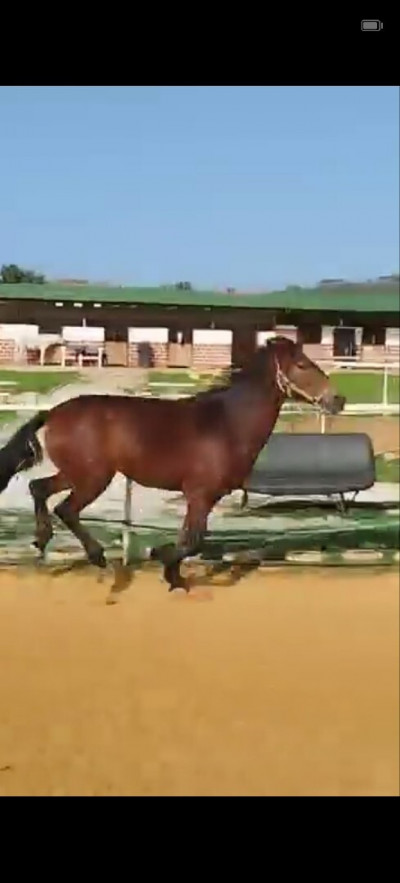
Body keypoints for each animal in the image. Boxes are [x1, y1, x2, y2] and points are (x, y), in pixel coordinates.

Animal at [0, 338, 344, 592]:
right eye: (302, 364)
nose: (337, 400)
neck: (227, 424)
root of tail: (54, 412)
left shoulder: (201, 496)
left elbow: (189, 538)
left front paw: (174, 574)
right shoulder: (201, 494)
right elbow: (193, 541)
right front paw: (164, 562)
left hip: (77, 473)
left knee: (38, 488)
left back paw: (41, 540)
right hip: (94, 477)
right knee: (65, 508)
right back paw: (96, 557)